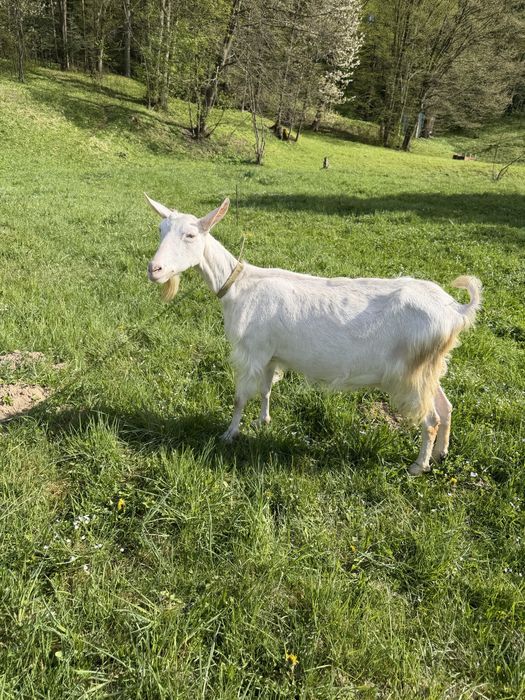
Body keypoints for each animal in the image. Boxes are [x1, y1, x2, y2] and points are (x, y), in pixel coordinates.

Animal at [145, 194, 481, 475]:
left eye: (190, 235)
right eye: (161, 229)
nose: (154, 269)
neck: (237, 284)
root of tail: (456, 310)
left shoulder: (251, 351)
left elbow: (240, 397)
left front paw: (229, 434)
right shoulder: (271, 353)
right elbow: (266, 390)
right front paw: (263, 422)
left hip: (412, 372)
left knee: (431, 418)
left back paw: (418, 466)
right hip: (430, 368)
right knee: (446, 406)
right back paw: (441, 454)